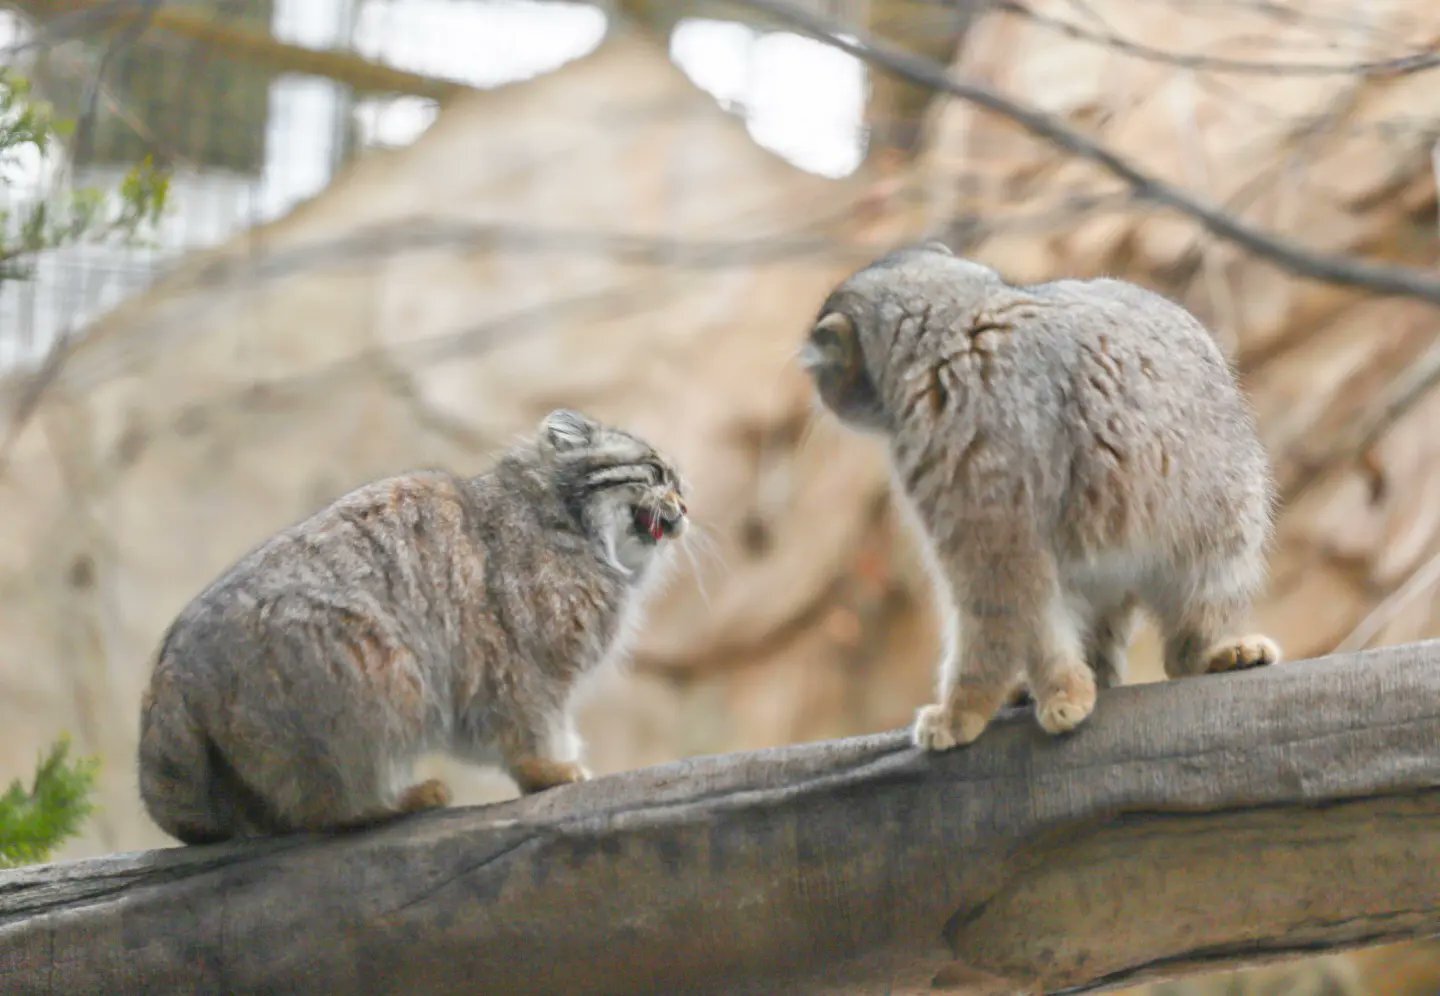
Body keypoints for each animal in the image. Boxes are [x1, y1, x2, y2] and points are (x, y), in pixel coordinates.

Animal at [137, 408, 688, 846]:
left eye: (680, 488)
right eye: (656, 473)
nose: (684, 510)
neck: (566, 519)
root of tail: (171, 673)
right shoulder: (520, 661)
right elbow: (531, 724)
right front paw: (549, 770)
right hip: (374, 671)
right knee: (327, 807)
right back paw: (393, 801)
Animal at [800, 241, 1284, 748]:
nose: (820, 393)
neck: (957, 319)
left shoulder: (985, 516)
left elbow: (996, 615)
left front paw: (962, 711)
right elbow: (1036, 618)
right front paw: (1061, 688)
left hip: (1223, 525)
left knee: (1185, 630)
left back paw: (1203, 653)